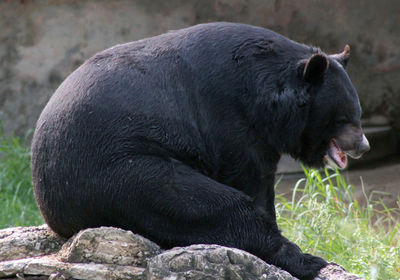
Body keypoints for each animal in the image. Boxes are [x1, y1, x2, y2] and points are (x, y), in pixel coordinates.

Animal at [31, 23, 368, 278]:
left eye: (358, 114)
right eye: (343, 119)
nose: (362, 146)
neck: (267, 95)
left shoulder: (262, 135)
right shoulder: (230, 120)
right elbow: (246, 179)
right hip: (120, 173)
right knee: (209, 205)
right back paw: (308, 260)